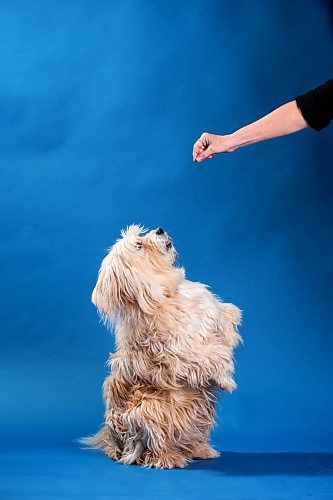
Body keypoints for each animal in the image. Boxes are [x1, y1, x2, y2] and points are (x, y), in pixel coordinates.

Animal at [81, 227, 240, 468]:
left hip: (200, 411)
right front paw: (226, 379)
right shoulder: (178, 350)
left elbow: (224, 317)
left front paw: (230, 331)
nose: (159, 229)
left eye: (140, 235)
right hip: (148, 410)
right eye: (138, 245)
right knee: (154, 446)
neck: (167, 292)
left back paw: (200, 449)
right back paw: (169, 458)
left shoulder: (208, 314)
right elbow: (210, 357)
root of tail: (112, 442)